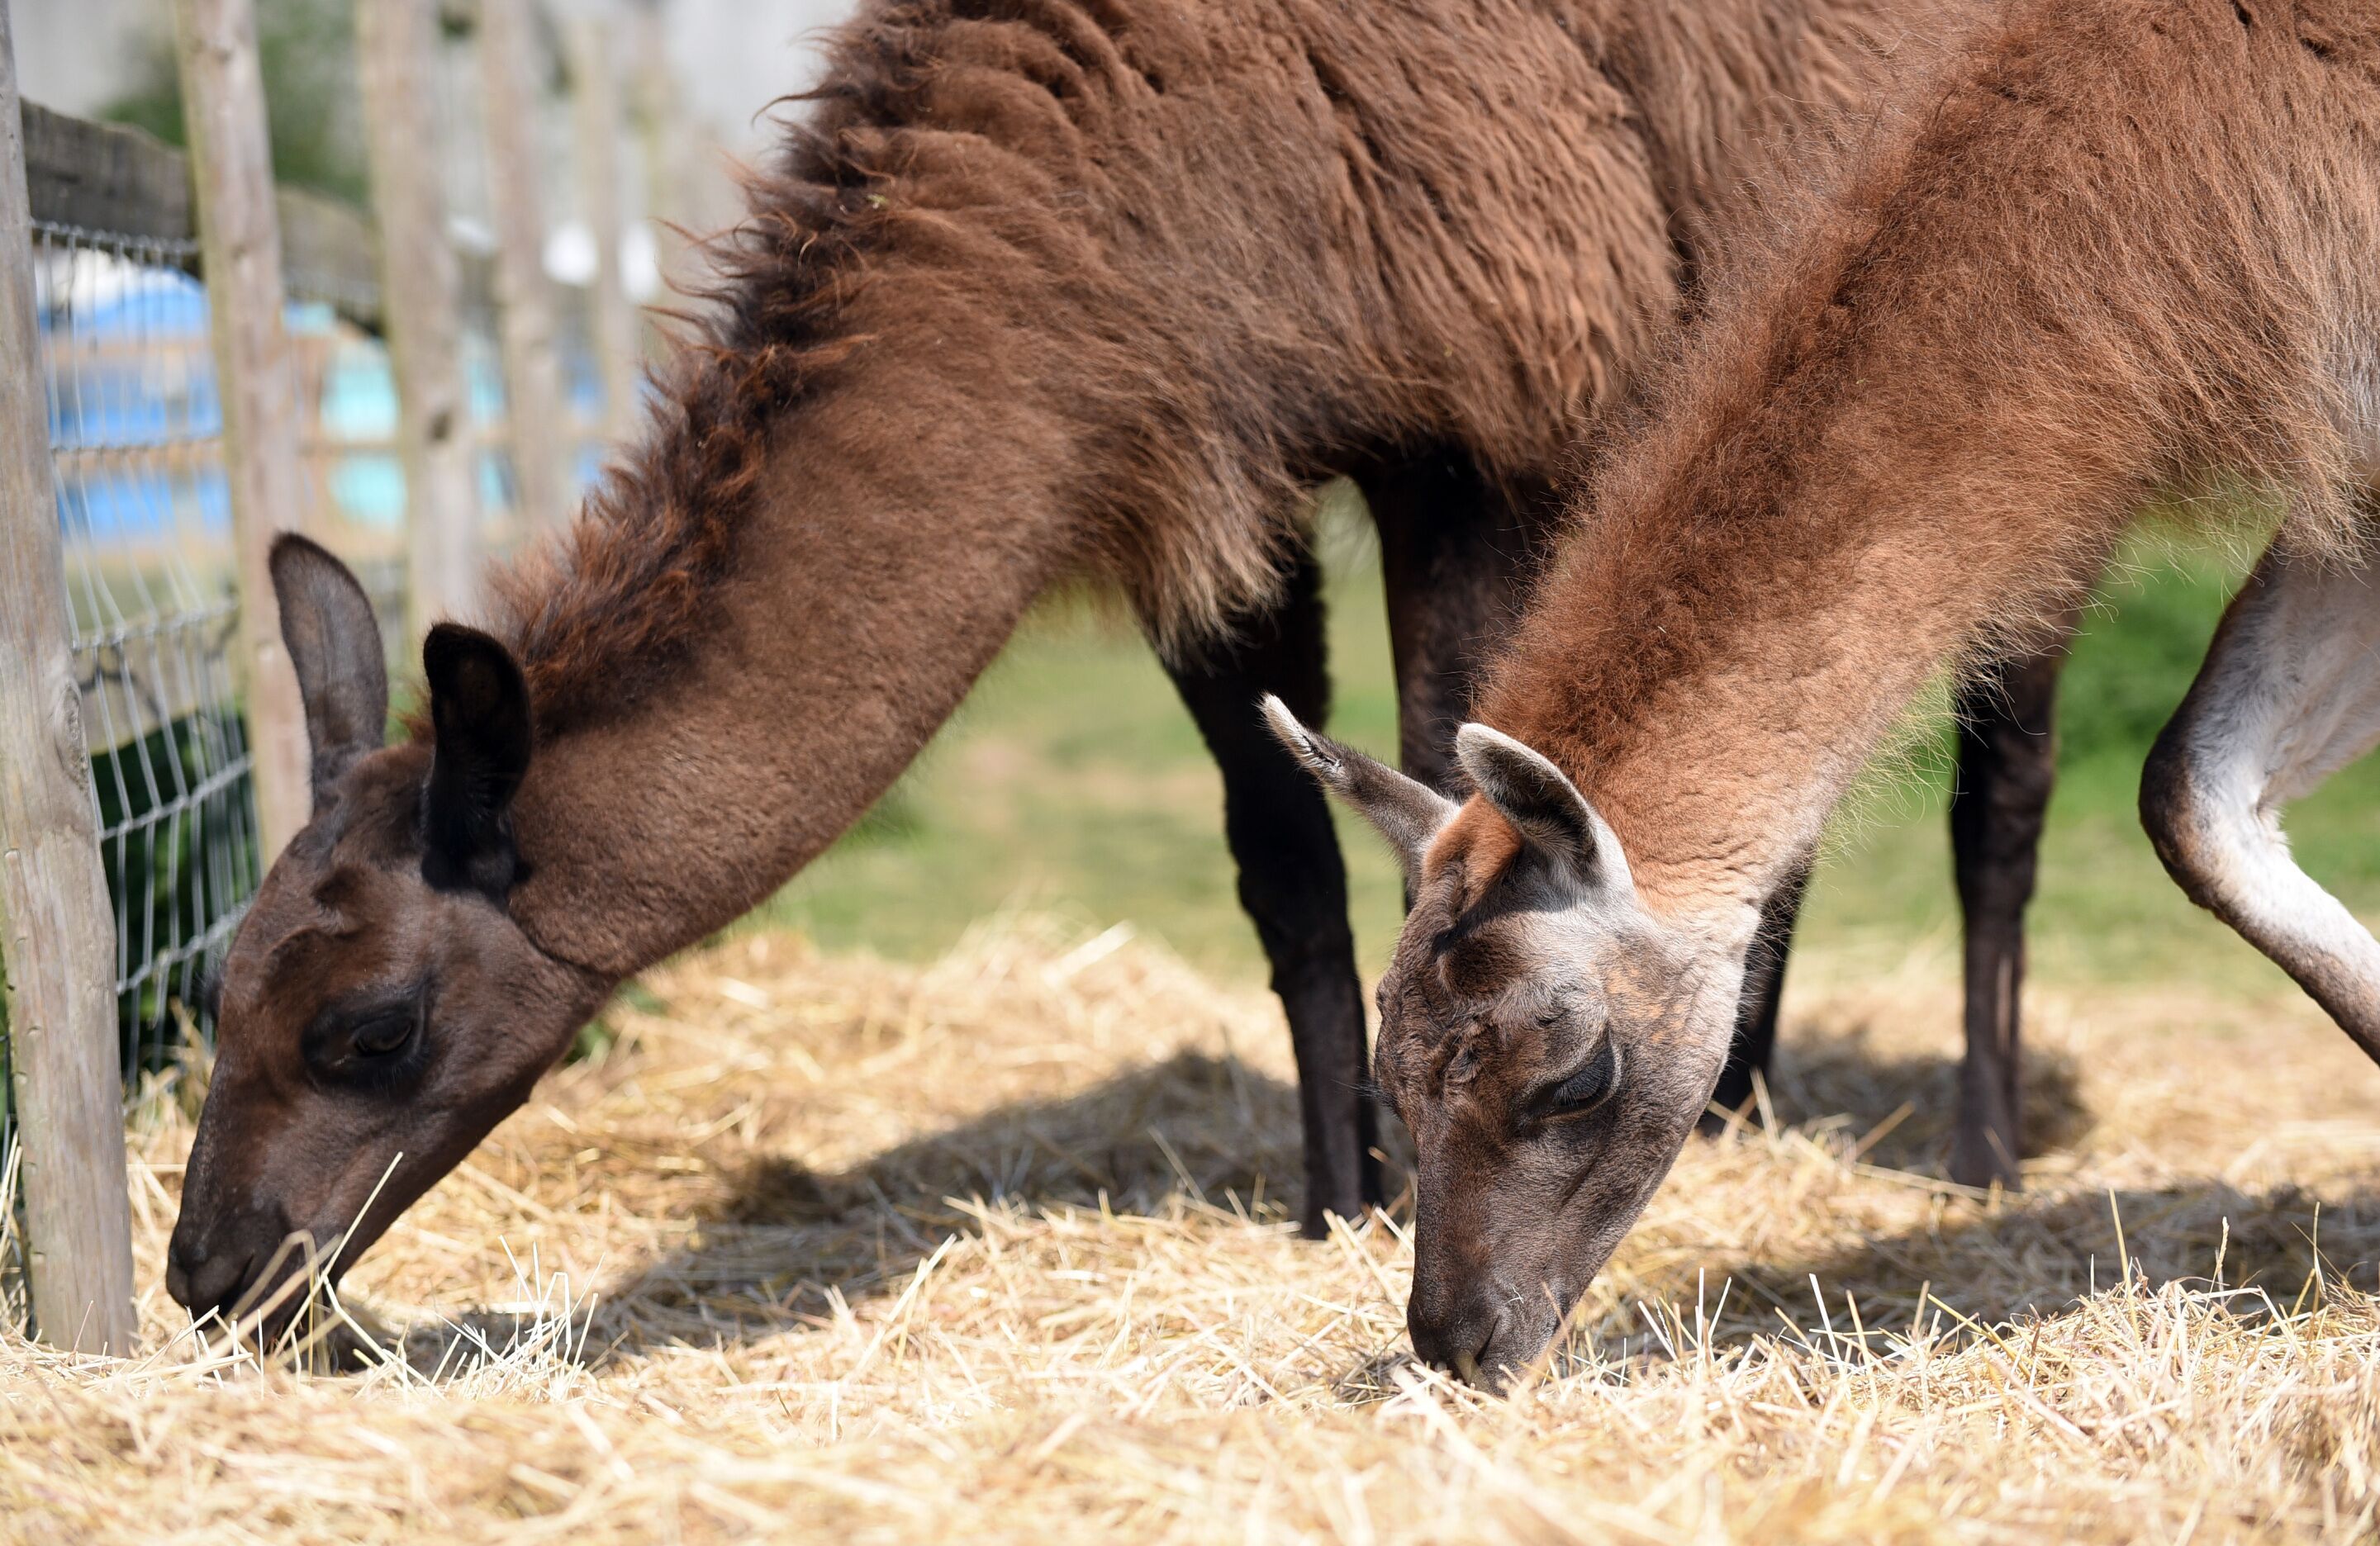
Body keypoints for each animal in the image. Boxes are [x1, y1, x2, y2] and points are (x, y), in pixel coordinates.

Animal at [164, 0, 2043, 1335]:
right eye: (216, 993)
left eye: (370, 1028)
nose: (211, 1272)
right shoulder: (1206, 464)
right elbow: (1292, 869)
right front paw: (1337, 1197)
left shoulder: (1490, 406)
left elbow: (1462, 800)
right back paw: (1738, 1107)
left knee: (1997, 779)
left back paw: (1977, 1150)